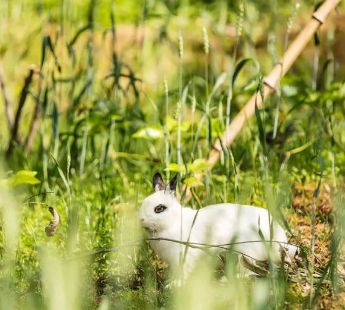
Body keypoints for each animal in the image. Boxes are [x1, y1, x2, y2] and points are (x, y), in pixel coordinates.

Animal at [138, 173, 296, 278]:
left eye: (159, 209)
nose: (141, 220)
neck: (174, 223)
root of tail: (281, 240)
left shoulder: (186, 258)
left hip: (243, 254)